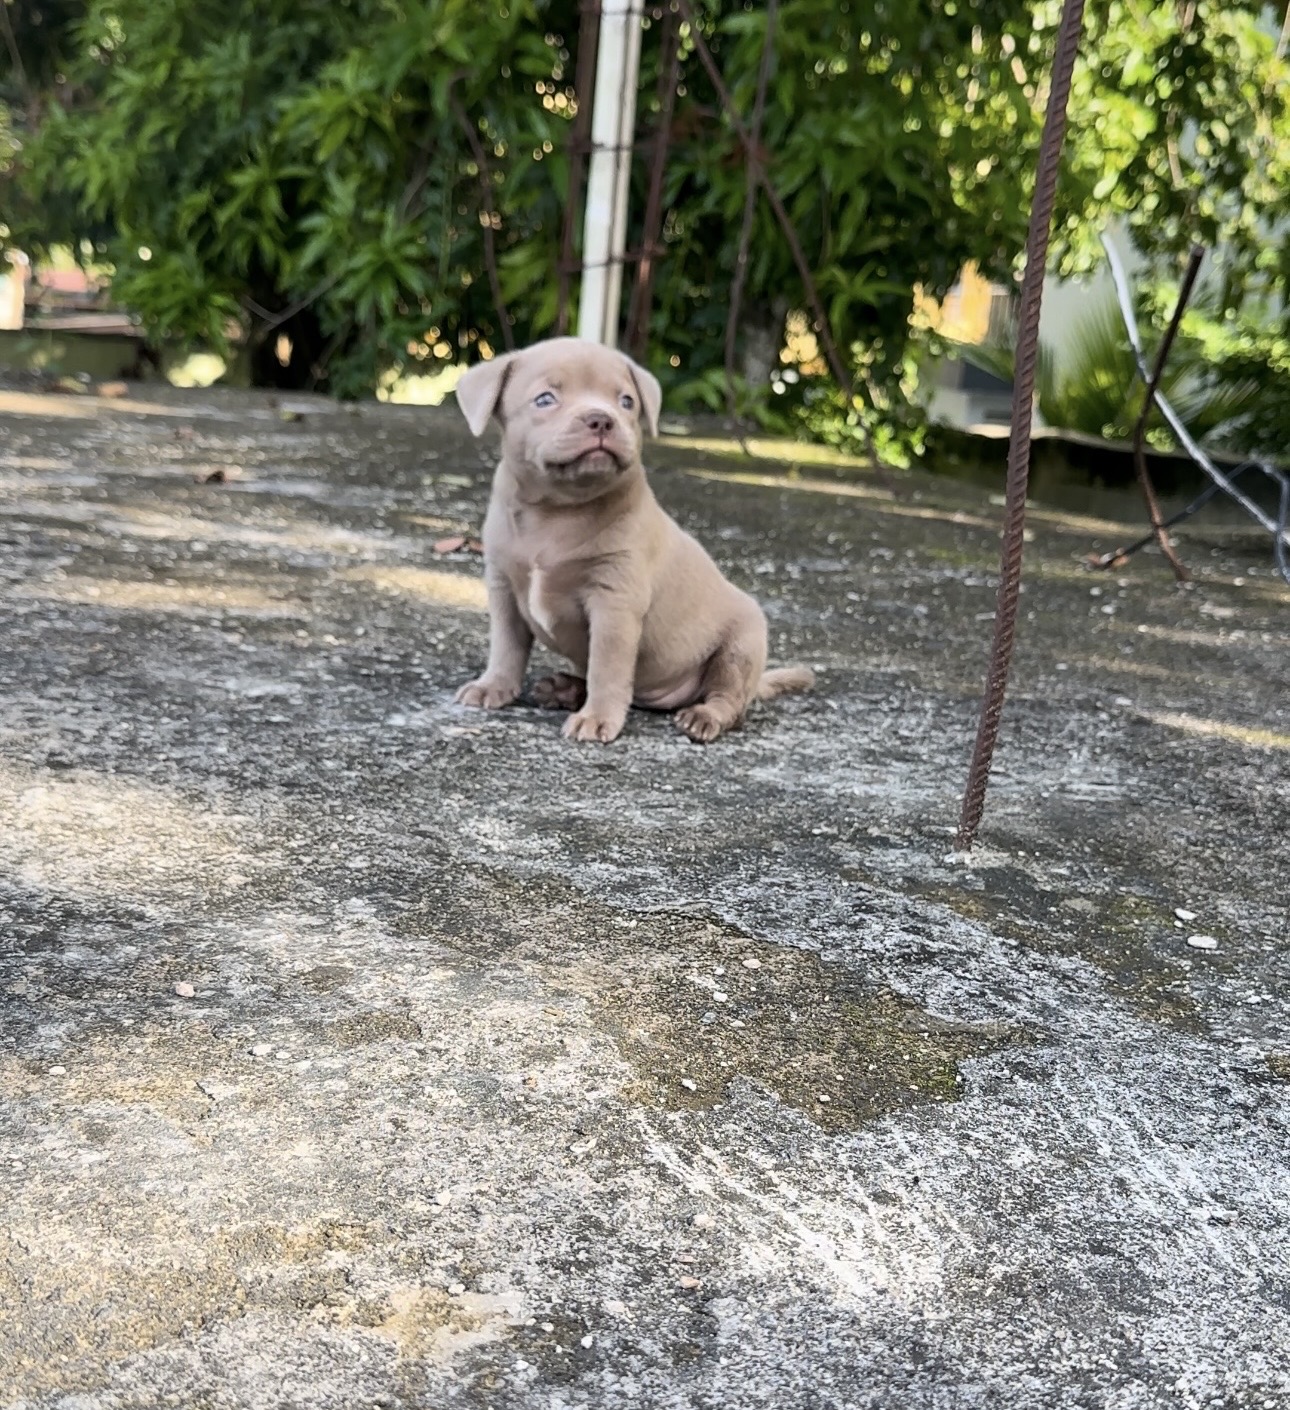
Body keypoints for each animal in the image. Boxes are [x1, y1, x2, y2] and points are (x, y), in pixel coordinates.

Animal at [453, 335, 812, 744]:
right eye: (545, 399)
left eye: (626, 401)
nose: (602, 418)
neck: (557, 511)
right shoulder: (503, 589)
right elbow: (506, 646)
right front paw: (493, 686)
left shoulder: (614, 602)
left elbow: (606, 667)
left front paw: (596, 718)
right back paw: (564, 689)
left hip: (742, 643)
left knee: (729, 700)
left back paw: (704, 716)